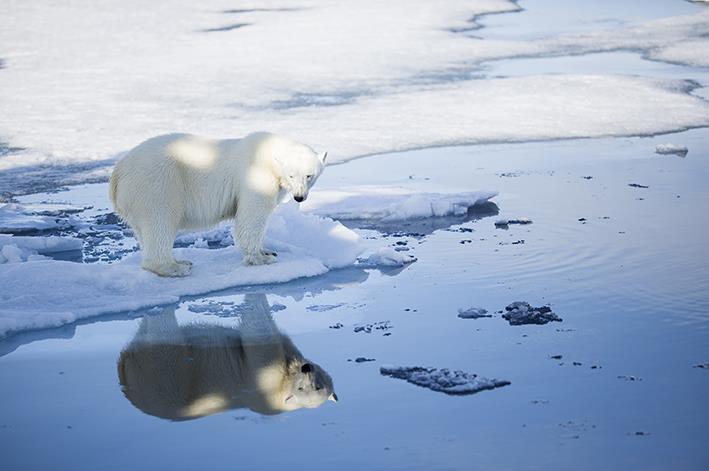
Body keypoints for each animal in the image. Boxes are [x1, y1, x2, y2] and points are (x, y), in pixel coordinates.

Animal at [109, 131, 328, 276]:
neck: (269, 152)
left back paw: (179, 260)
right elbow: (252, 217)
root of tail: (118, 172)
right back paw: (176, 267)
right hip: (156, 183)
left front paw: (267, 250)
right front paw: (261, 258)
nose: (299, 197)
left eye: (309, 175)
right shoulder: (256, 176)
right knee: (160, 222)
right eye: (292, 175)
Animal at [117, 296, 338, 420]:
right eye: (303, 387)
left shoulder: (265, 376)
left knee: (161, 333)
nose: (306, 368)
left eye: (315, 387)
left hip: (167, 371)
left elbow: (256, 333)